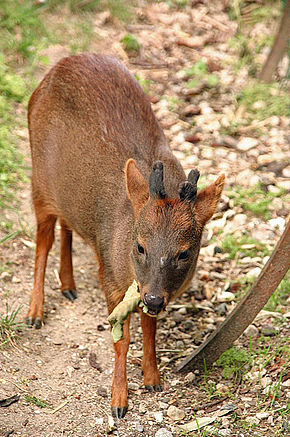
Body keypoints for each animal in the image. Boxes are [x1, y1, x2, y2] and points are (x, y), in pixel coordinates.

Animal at [27, 52, 225, 418]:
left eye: (185, 253)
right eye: (140, 246)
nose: (154, 299)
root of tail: (57, 66)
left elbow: (150, 329)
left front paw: (152, 378)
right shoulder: (110, 278)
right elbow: (122, 338)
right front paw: (118, 400)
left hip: (68, 194)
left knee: (66, 224)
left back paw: (68, 285)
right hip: (39, 181)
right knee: (43, 238)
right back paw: (35, 312)